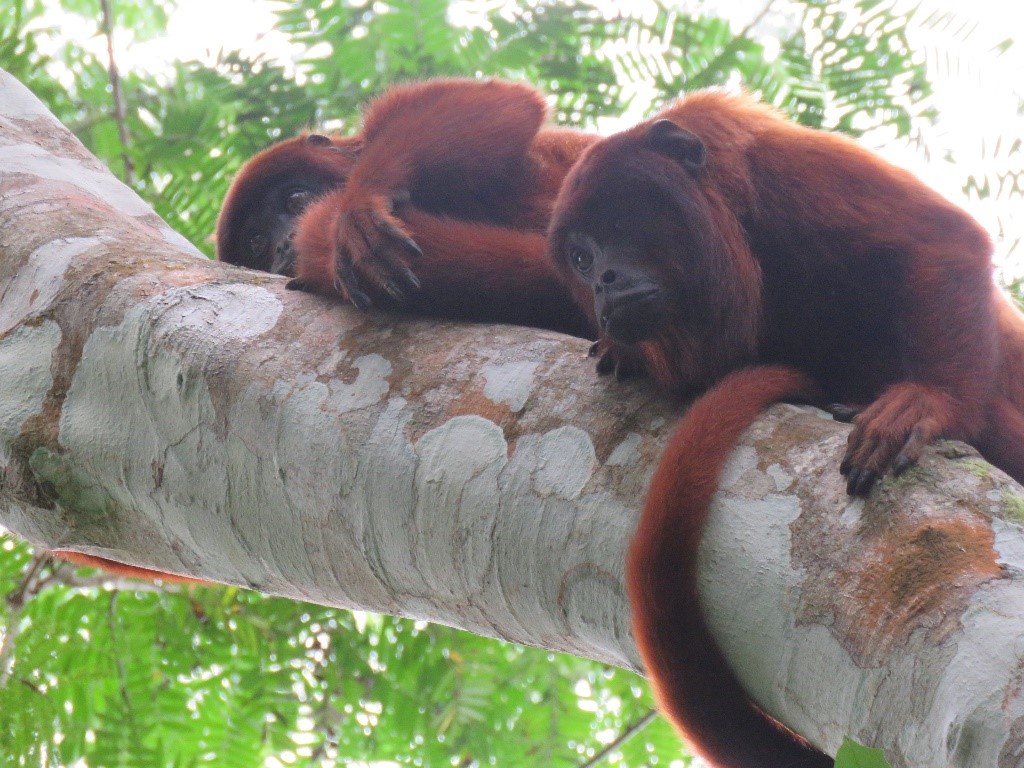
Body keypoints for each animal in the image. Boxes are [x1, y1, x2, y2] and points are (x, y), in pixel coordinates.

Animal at [548, 91, 1024, 768]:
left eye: (615, 230)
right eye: (581, 258)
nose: (602, 283)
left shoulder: (790, 173)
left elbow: (940, 237)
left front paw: (931, 403)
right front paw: (625, 352)